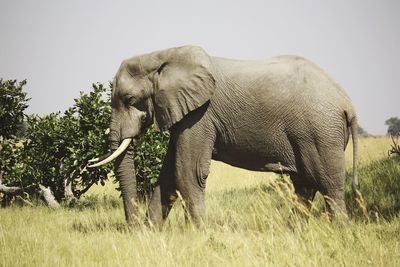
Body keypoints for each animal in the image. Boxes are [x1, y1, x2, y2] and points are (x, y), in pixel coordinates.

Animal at [88, 45, 360, 228]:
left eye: (129, 99)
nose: (133, 228)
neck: (162, 56)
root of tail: (348, 104)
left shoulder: (200, 114)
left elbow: (187, 172)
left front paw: (200, 235)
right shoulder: (185, 113)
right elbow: (168, 174)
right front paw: (151, 234)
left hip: (320, 131)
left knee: (328, 184)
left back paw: (339, 232)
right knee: (304, 185)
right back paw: (294, 232)